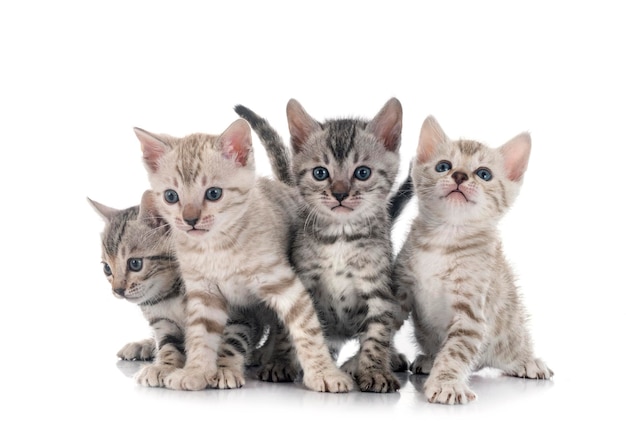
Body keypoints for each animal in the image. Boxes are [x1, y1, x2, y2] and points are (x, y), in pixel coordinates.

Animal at [135, 119, 354, 392]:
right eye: (170, 196)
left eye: (214, 193)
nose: (190, 219)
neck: (217, 248)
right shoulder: (204, 293)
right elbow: (200, 336)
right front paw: (195, 371)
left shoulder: (285, 286)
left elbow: (307, 331)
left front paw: (324, 373)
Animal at [236, 98, 408, 392]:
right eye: (320, 173)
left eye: (362, 173)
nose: (339, 193)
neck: (340, 236)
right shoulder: (302, 282)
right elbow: (288, 328)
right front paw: (281, 362)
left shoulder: (379, 290)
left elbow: (377, 335)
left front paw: (375, 371)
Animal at [392, 115, 552, 404]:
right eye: (443, 166)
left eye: (484, 173)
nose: (459, 175)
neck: (444, 240)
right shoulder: (401, 288)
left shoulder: (471, 311)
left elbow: (456, 350)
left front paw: (446, 383)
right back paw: (430, 359)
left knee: (513, 345)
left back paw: (527, 361)